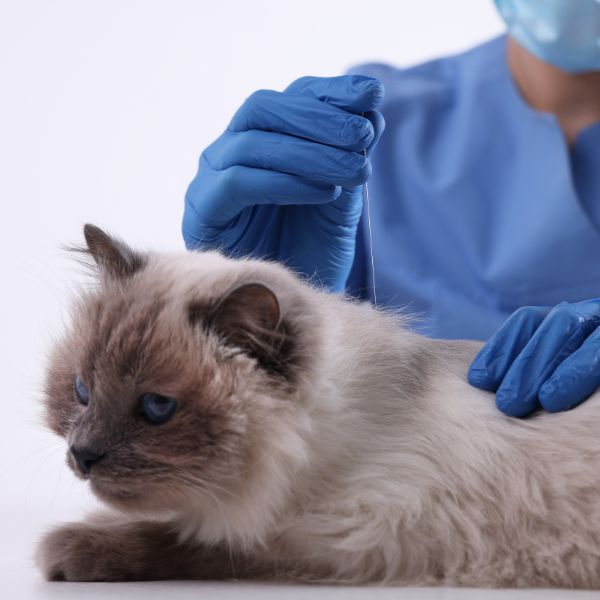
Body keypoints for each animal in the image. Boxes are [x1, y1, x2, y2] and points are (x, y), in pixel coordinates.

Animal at [35, 224, 600, 584]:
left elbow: (199, 540)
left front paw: (69, 549)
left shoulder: (360, 531)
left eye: (156, 407)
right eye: (82, 392)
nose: (83, 455)